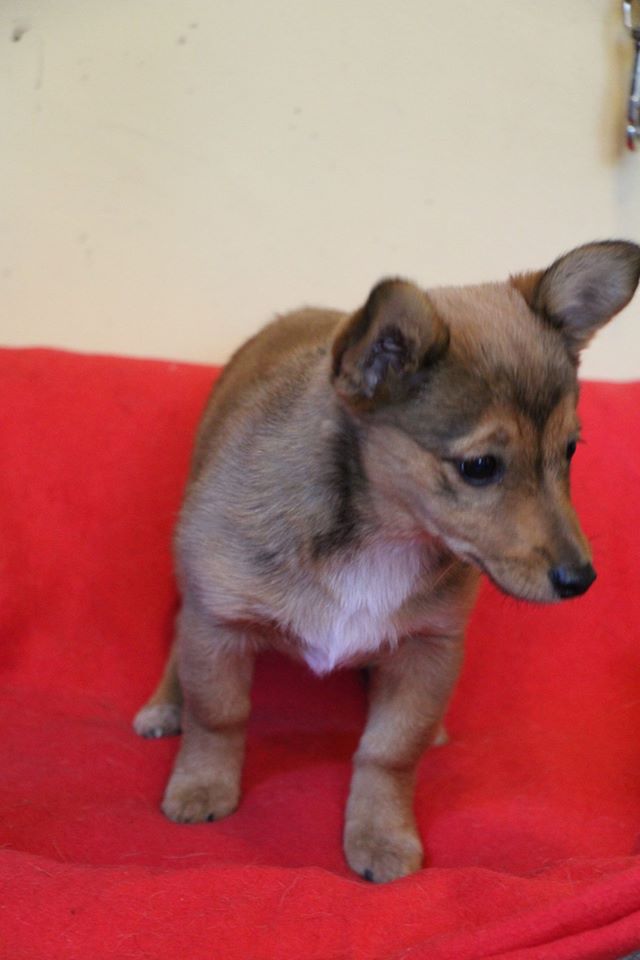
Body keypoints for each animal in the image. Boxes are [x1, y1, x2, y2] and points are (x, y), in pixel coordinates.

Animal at [134, 240, 640, 883]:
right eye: (480, 467)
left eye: (570, 451)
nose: (582, 580)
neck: (384, 536)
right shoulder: (220, 624)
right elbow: (219, 715)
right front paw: (203, 786)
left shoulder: (429, 650)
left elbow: (390, 751)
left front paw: (380, 833)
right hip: (196, 592)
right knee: (181, 639)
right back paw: (164, 706)